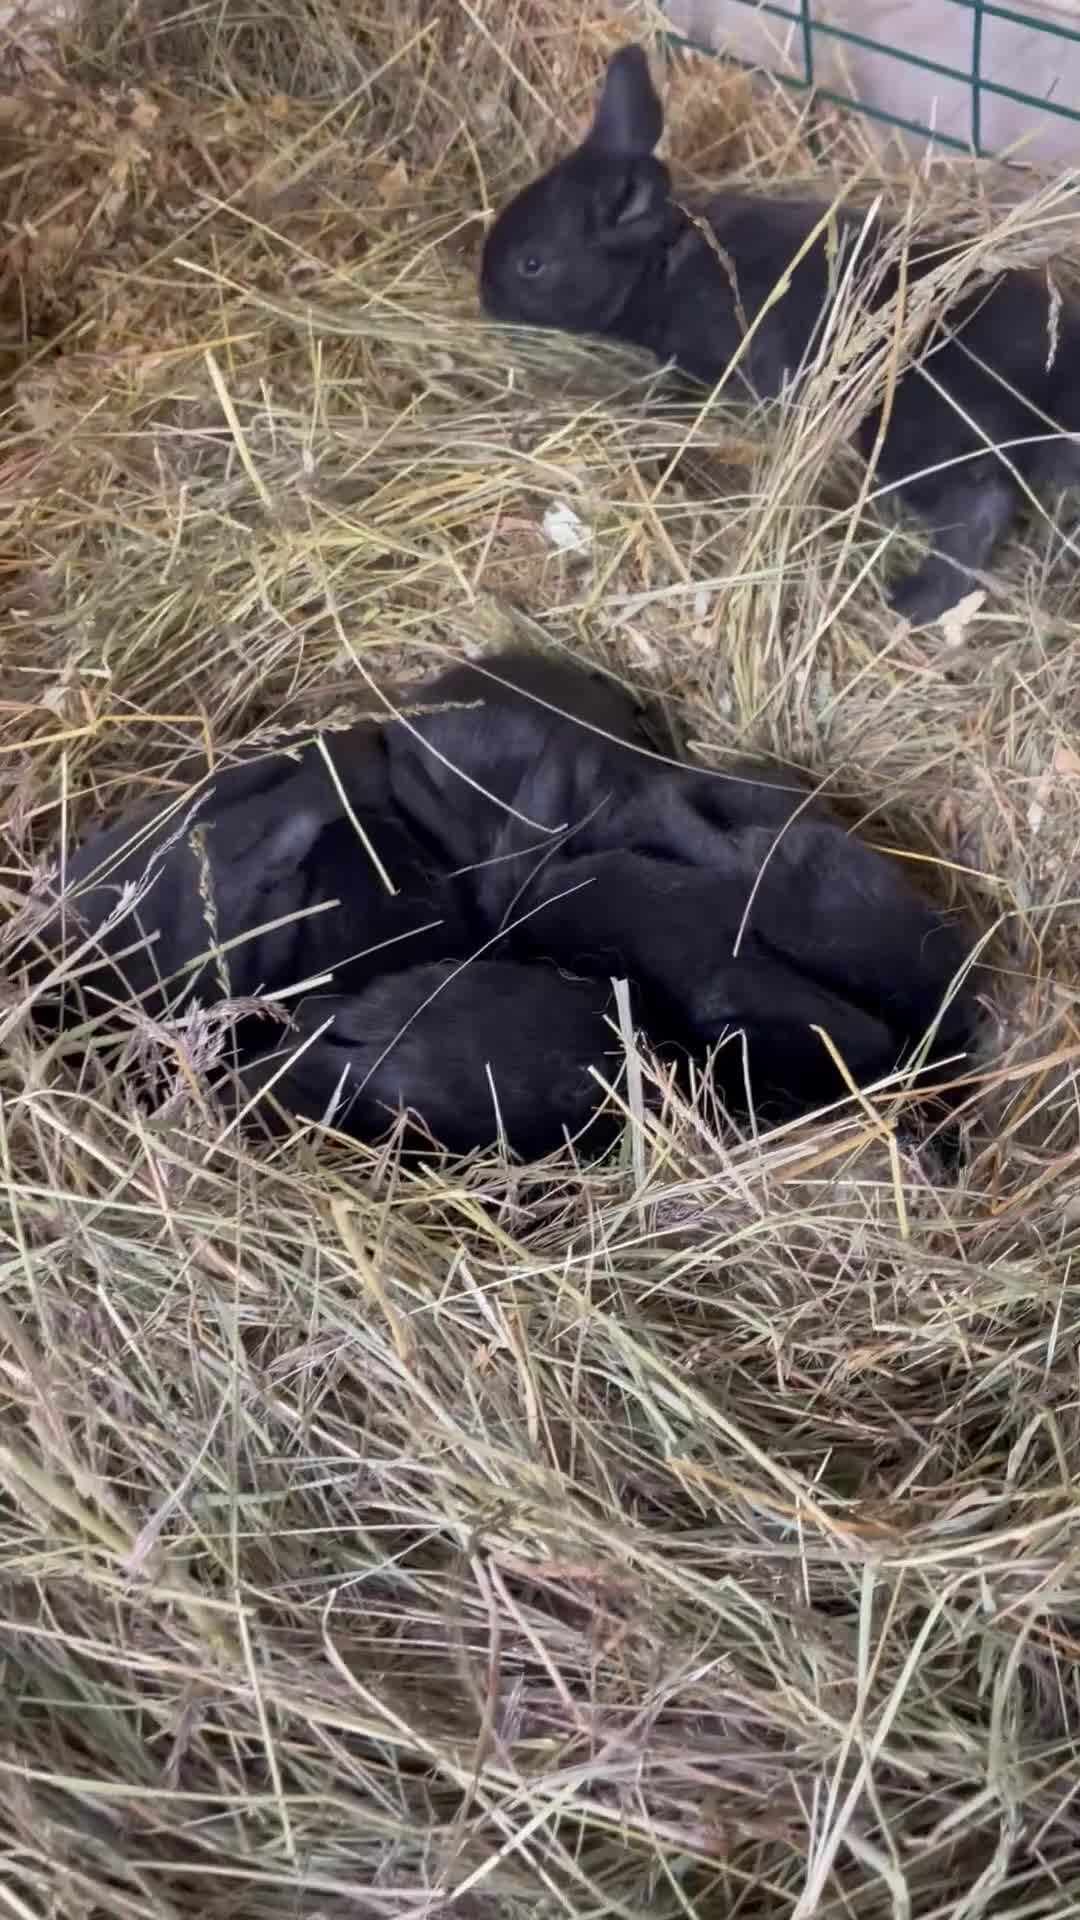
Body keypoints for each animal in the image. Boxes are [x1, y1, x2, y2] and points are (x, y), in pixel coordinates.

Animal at [480, 44, 1080, 625]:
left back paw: (916, 601)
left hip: (910, 436)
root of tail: (1055, 373)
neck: (665, 262)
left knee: (978, 506)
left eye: (531, 264)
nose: (484, 299)